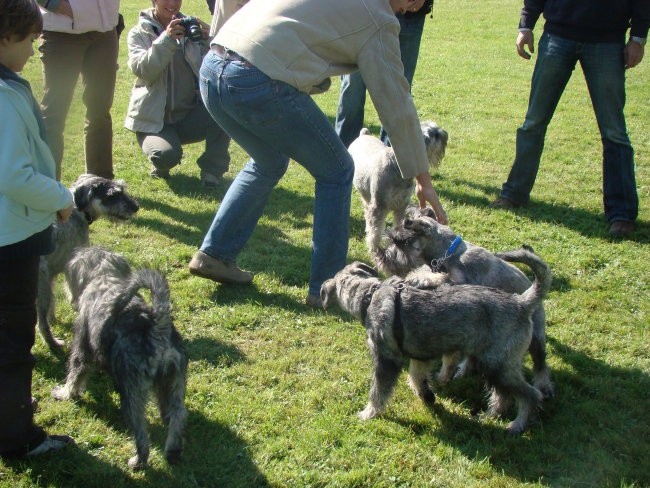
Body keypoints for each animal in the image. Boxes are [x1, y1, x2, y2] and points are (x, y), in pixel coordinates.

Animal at [37, 173, 138, 352]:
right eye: (112, 195)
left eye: (122, 188)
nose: (135, 207)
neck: (77, 213)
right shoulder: (72, 265)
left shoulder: (52, 273)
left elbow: (54, 301)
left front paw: (54, 317)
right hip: (41, 290)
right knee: (41, 324)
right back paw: (54, 343)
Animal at [52, 248, 186, 468]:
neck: (105, 276)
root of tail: (157, 328)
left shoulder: (82, 348)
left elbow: (74, 374)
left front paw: (64, 394)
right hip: (173, 382)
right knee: (177, 414)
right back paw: (173, 449)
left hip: (131, 394)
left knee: (141, 432)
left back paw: (138, 460)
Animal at [318, 250, 548, 432]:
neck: (369, 296)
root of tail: (521, 302)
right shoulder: (419, 356)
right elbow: (416, 376)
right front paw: (427, 396)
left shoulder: (385, 360)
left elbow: (379, 391)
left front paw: (368, 413)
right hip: (493, 365)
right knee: (503, 396)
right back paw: (488, 416)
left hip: (497, 365)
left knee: (529, 395)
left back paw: (516, 425)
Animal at [350, 120, 446, 254]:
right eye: (431, 136)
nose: (444, 135)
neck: (397, 168)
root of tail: (364, 134)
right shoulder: (379, 206)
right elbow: (375, 230)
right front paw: (374, 248)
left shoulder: (402, 205)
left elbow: (399, 223)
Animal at [374, 207, 552, 400]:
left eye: (401, 241)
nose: (382, 257)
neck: (451, 252)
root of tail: (529, 294)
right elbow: (429, 273)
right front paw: (418, 278)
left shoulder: (462, 280)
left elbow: (442, 277)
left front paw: (419, 279)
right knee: (472, 356)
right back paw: (462, 370)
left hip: (536, 335)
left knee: (540, 361)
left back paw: (544, 386)